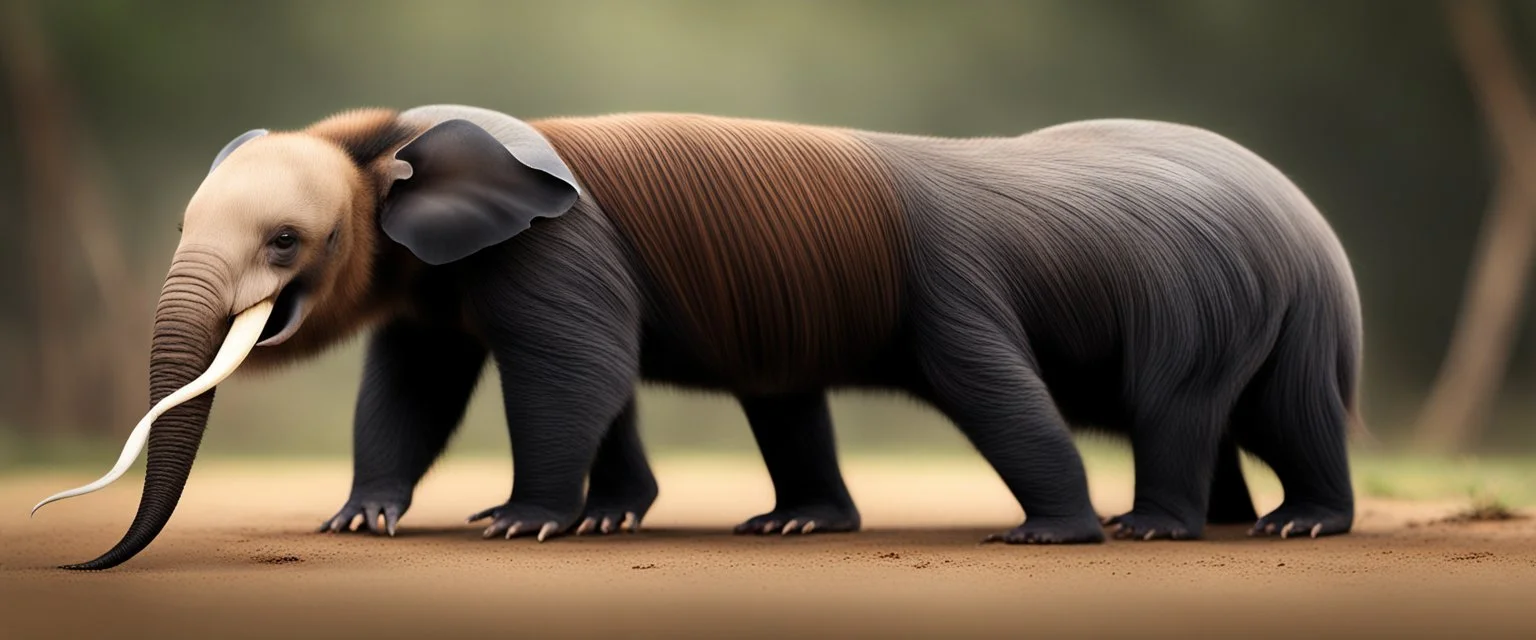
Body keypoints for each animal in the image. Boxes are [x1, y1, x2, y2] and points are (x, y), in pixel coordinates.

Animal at [32, 103, 1362, 570]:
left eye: (285, 242)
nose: (85, 552)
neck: (390, 130)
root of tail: (1314, 225)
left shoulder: (558, 246)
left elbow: (573, 366)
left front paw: (521, 524)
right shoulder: (443, 278)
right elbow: (418, 384)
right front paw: (364, 522)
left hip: (1182, 305)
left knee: (1167, 403)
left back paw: (1142, 531)